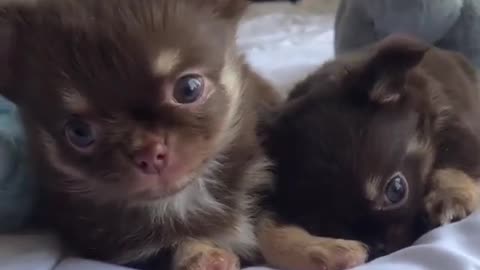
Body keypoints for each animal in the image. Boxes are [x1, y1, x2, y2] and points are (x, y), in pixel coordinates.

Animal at [0, 0, 288, 268]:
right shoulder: (119, 249)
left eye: (189, 89)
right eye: (79, 132)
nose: (149, 152)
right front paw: (202, 256)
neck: (179, 201)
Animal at [262, 33, 480, 260]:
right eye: (321, 222)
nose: (380, 248)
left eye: (396, 190)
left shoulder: (451, 121)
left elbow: (457, 162)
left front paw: (449, 197)